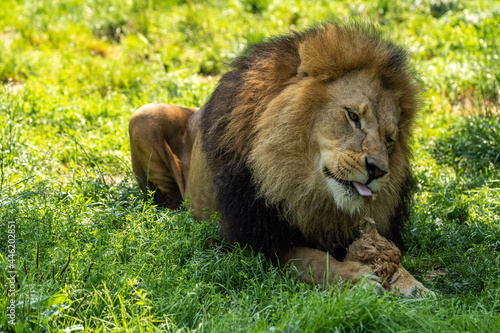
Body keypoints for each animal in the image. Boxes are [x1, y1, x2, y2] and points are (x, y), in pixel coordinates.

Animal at [129, 23, 434, 296]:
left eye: (389, 140)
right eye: (353, 116)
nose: (378, 171)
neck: (305, 187)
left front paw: (411, 283)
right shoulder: (254, 241)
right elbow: (313, 260)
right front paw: (353, 277)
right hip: (144, 116)